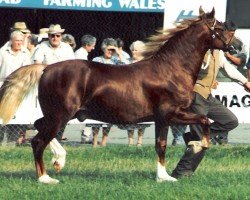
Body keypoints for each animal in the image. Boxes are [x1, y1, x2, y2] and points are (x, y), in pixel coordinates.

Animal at [0, 7, 241, 183]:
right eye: (220, 28)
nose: (238, 47)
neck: (170, 69)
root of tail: (46, 68)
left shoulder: (163, 118)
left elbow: (166, 142)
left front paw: (166, 174)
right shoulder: (170, 114)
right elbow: (199, 123)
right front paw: (194, 148)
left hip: (58, 115)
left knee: (38, 126)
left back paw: (59, 161)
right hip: (61, 115)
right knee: (38, 140)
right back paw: (46, 178)